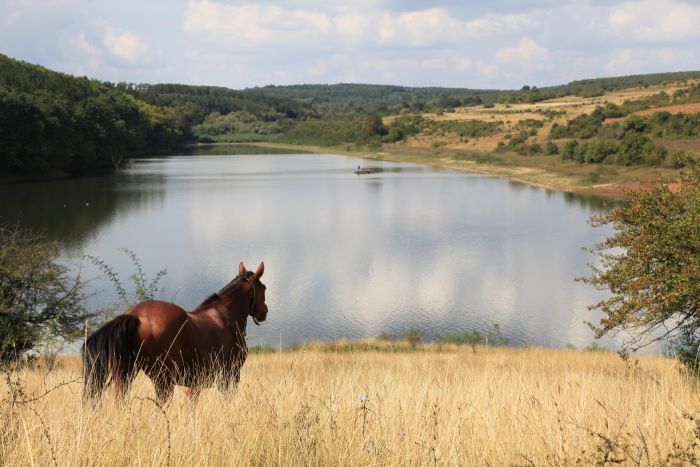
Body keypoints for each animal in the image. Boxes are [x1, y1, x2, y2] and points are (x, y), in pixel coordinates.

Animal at [82, 264, 268, 402]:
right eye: (264, 288)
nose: (264, 311)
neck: (225, 314)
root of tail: (135, 316)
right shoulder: (230, 375)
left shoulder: (195, 385)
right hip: (163, 380)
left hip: (126, 375)